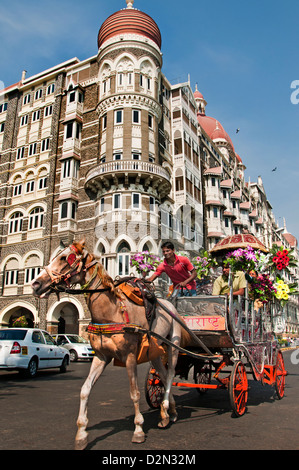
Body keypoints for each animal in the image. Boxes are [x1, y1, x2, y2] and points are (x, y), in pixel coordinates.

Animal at [32, 241, 188, 450]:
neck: (111, 311)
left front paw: (138, 430)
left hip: (173, 344)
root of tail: (169, 303)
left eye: (65, 258)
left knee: (170, 374)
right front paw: (81, 434)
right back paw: (168, 412)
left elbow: (134, 393)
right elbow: (84, 390)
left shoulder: (130, 357)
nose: (35, 284)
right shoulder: (100, 357)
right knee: (162, 376)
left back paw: (165, 407)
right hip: (155, 352)